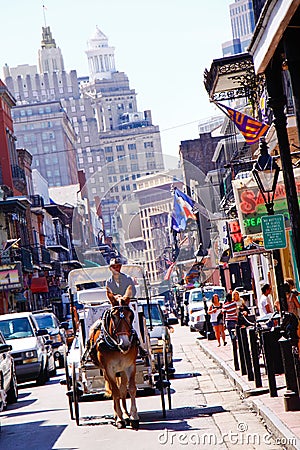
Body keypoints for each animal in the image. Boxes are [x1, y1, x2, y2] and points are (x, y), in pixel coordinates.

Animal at [85, 288, 139, 428]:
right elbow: (114, 392)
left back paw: (126, 414)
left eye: (130, 316)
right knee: (115, 391)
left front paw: (133, 416)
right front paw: (119, 418)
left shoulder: (130, 366)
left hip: (122, 370)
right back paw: (117, 415)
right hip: (105, 371)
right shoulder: (108, 369)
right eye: (113, 316)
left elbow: (130, 389)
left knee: (122, 390)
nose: (125, 344)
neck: (116, 347)